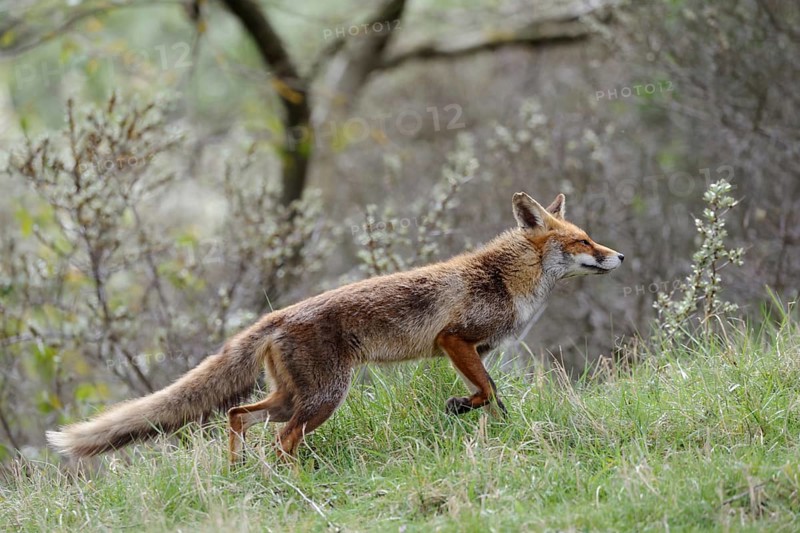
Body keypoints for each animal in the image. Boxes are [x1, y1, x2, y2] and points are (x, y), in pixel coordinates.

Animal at [47, 191, 624, 464]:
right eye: (583, 240)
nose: (619, 255)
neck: (507, 279)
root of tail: (277, 315)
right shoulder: (454, 339)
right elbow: (485, 390)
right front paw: (462, 407)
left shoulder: (473, 349)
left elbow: (494, 395)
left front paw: (490, 422)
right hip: (324, 398)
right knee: (281, 441)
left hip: (295, 396)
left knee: (238, 415)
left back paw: (238, 473)